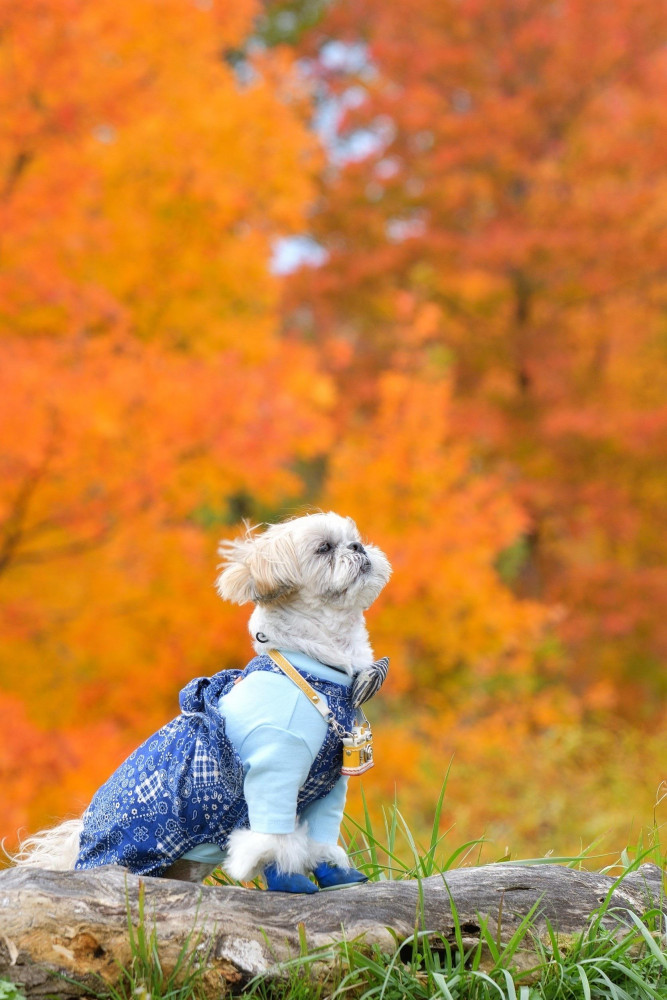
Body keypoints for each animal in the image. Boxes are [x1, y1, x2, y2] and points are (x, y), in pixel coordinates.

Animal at [13, 512, 392, 896]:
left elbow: (320, 836)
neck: (313, 670)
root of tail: (78, 851)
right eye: (324, 548)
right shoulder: (275, 771)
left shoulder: (334, 779)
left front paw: (337, 875)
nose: (358, 547)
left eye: (355, 537)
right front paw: (289, 881)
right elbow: (271, 839)